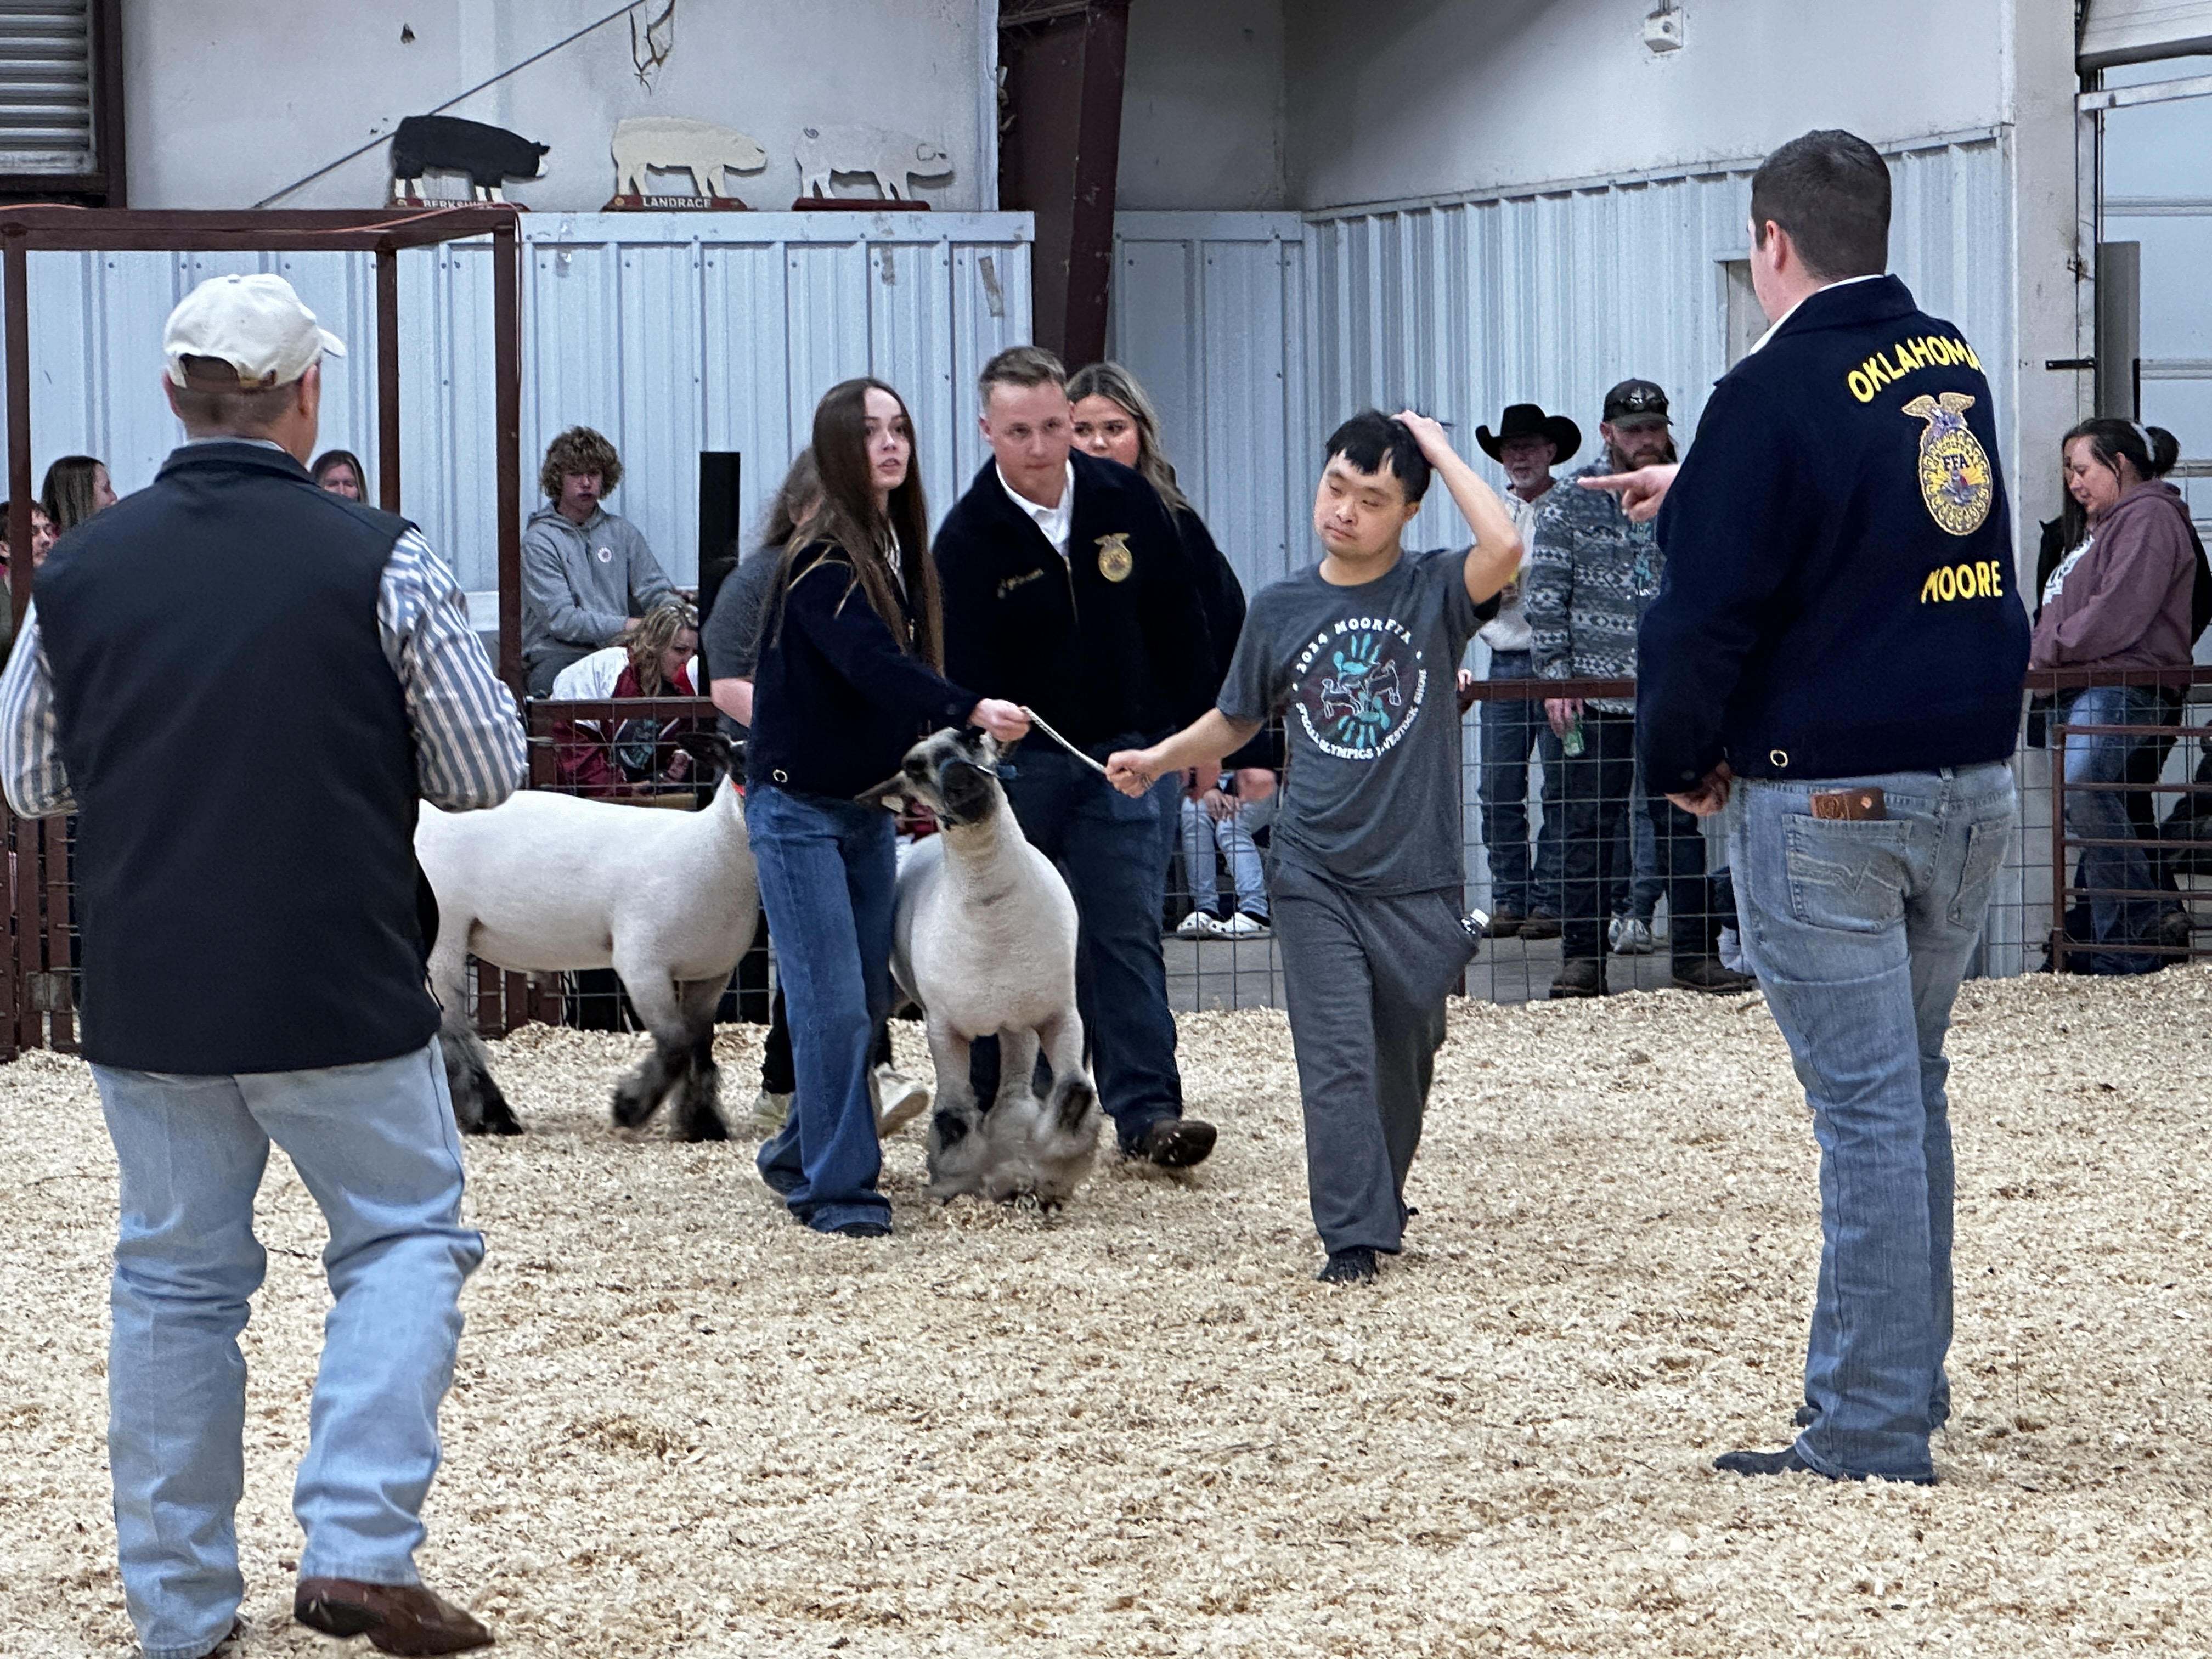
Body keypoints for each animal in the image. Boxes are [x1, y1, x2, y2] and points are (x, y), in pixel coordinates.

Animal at [415, 740, 757, 1141]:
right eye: (739, 767)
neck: (712, 852)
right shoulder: (642, 964)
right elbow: (675, 1045)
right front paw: (628, 1108)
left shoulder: (711, 975)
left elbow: (700, 1048)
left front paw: (703, 1124)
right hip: (446, 934)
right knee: (452, 1032)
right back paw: (492, 1117)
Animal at [863, 727, 1100, 1204]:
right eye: (914, 767)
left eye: (973, 738)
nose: (963, 782)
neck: (995, 920)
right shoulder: (944, 1028)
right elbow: (953, 1115)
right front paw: (953, 1180)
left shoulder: (1060, 1013)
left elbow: (1075, 1093)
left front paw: (1052, 1174)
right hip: (894, 991)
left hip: (1016, 1017)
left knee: (1015, 1084)